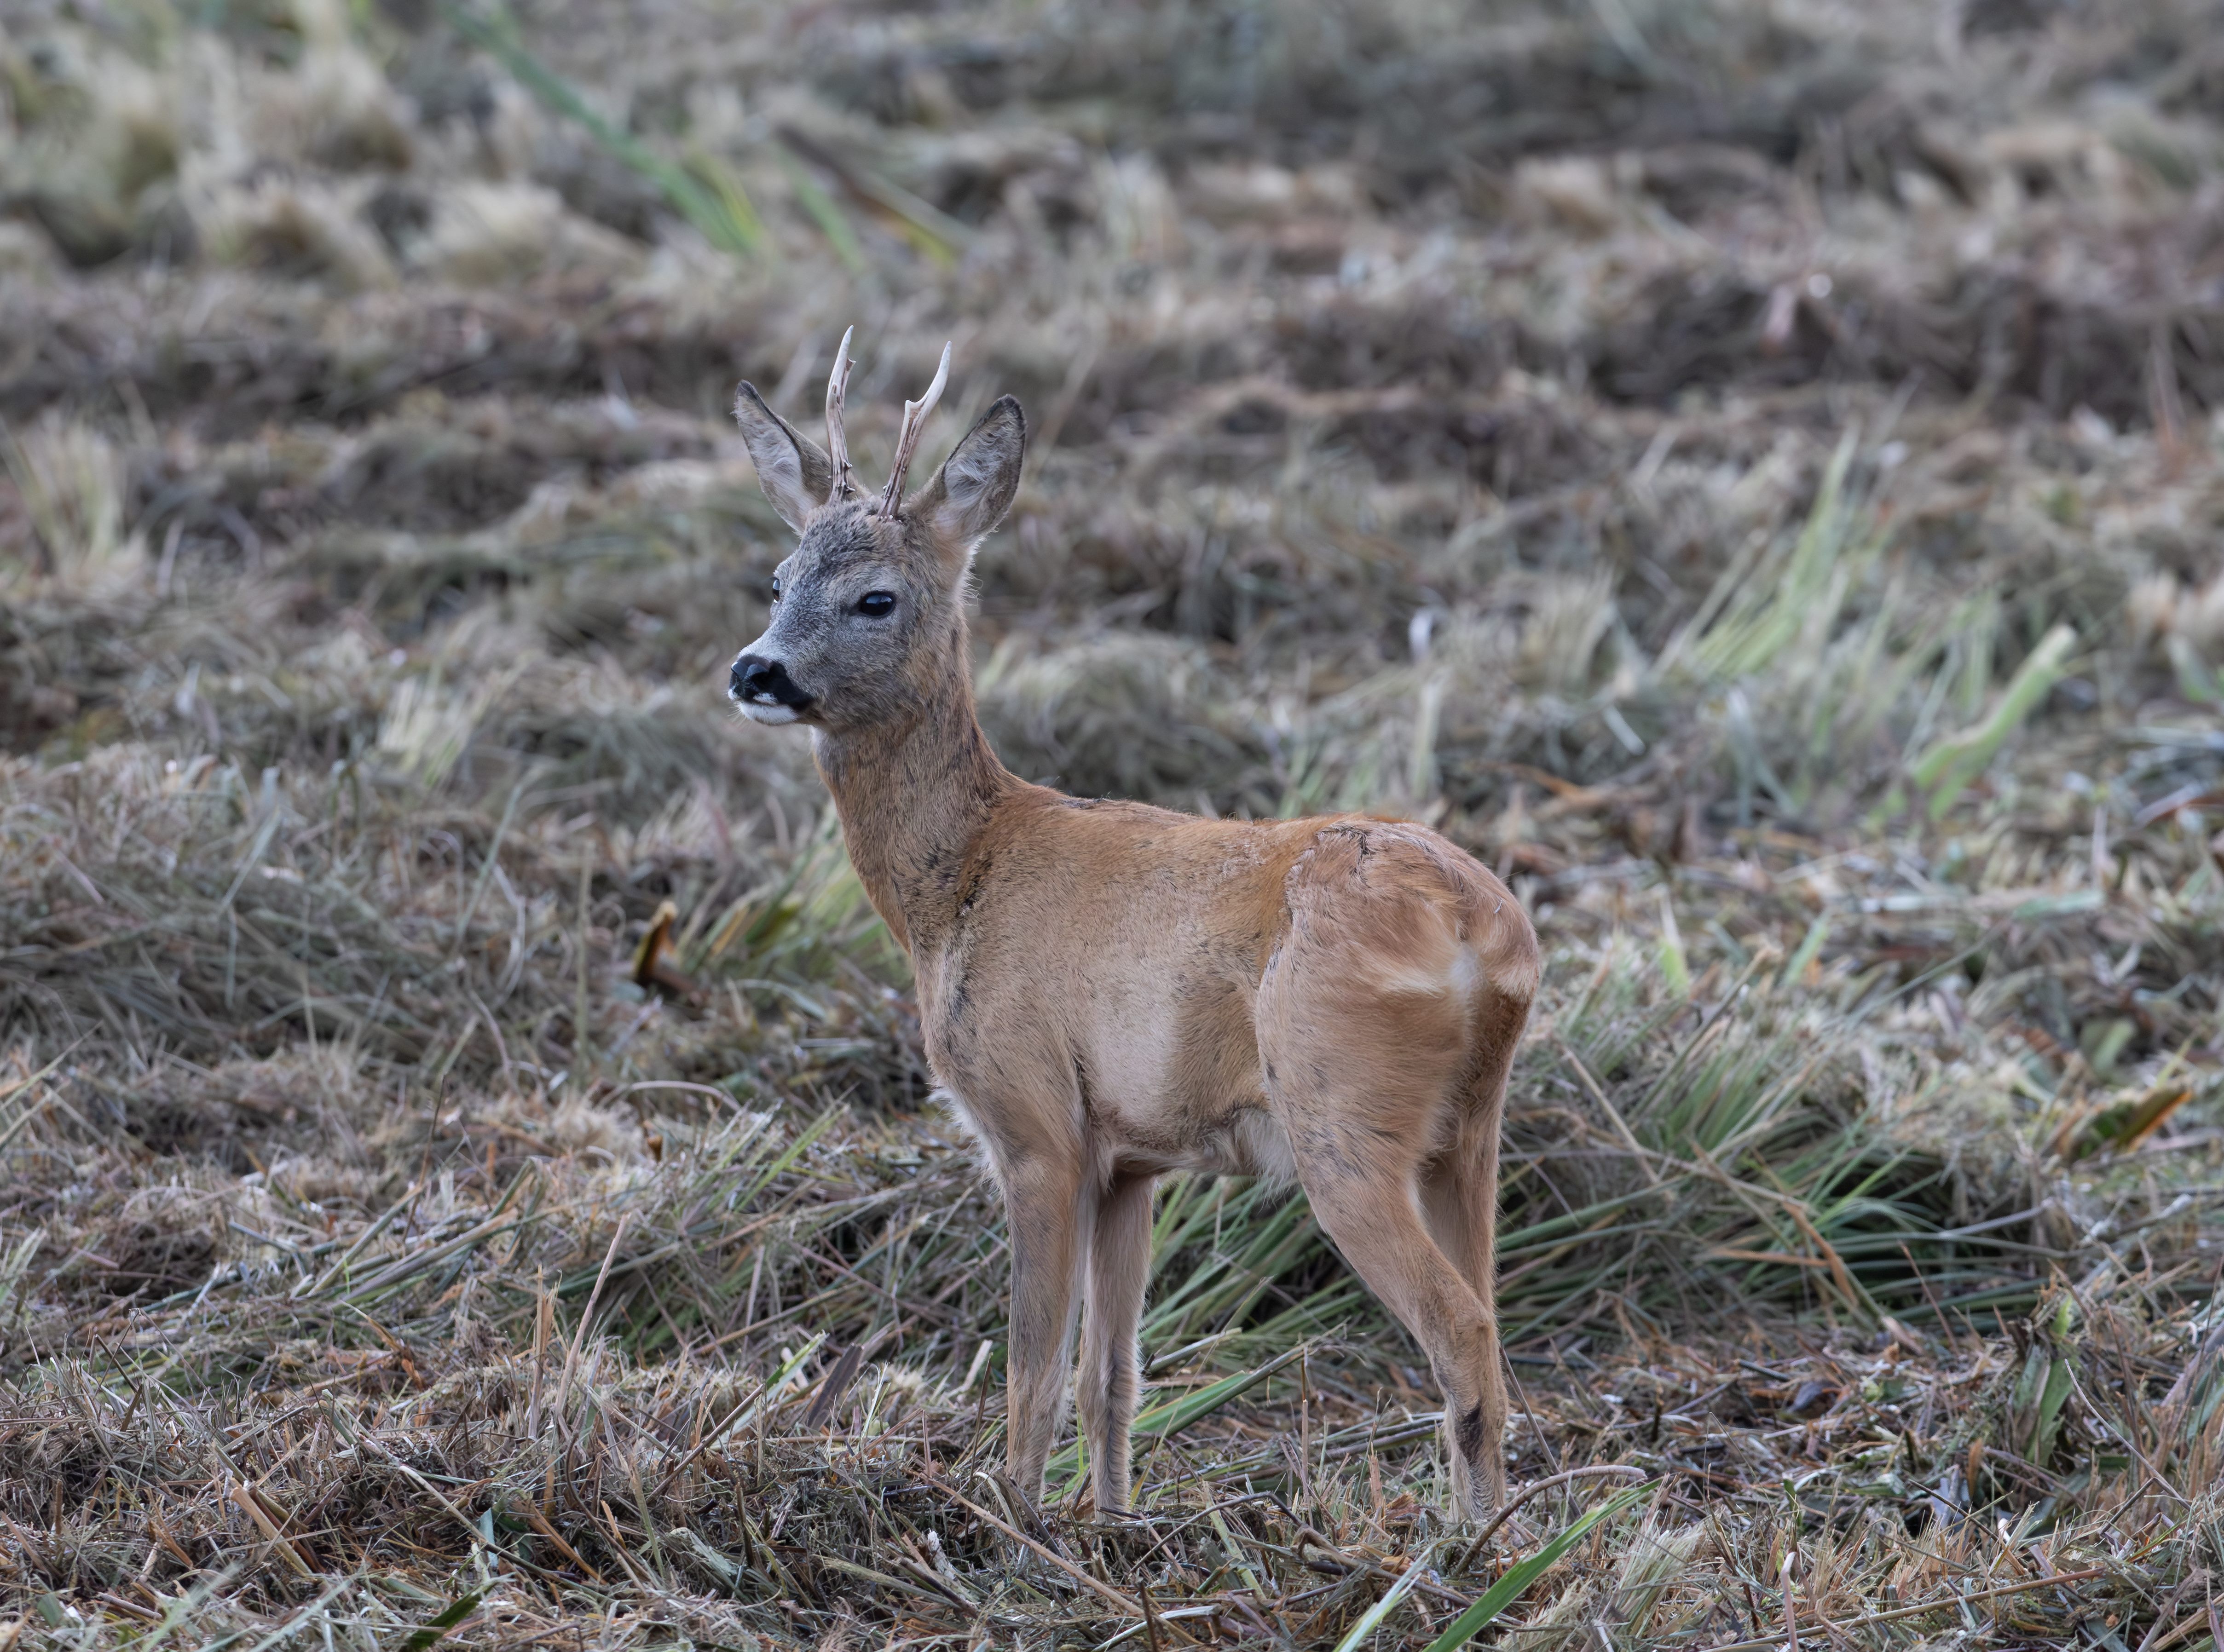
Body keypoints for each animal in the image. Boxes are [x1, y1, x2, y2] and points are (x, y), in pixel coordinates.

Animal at [738, 335, 1539, 1520]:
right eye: (778, 580)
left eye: (874, 597)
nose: (756, 669)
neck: (960, 879)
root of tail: (1479, 932)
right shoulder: (1130, 1157)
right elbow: (1109, 1373)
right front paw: (1108, 1520)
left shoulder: (1035, 1120)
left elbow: (1031, 1363)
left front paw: (1012, 1520)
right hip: (1470, 1130)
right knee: (1487, 1312)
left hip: (1342, 1116)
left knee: (1461, 1327)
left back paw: (1473, 1545)